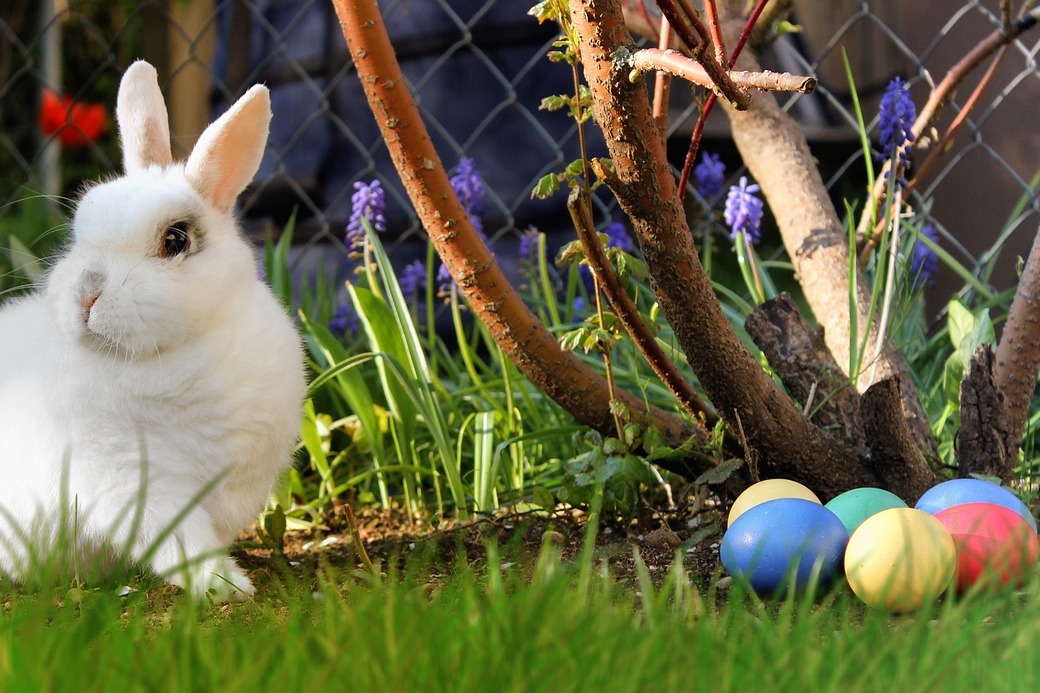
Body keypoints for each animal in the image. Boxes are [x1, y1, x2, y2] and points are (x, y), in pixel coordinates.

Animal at [0, 60, 305, 599]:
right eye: (79, 233)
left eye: (176, 240)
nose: (86, 293)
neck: (174, 354)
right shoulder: (135, 482)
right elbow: (181, 541)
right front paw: (227, 586)